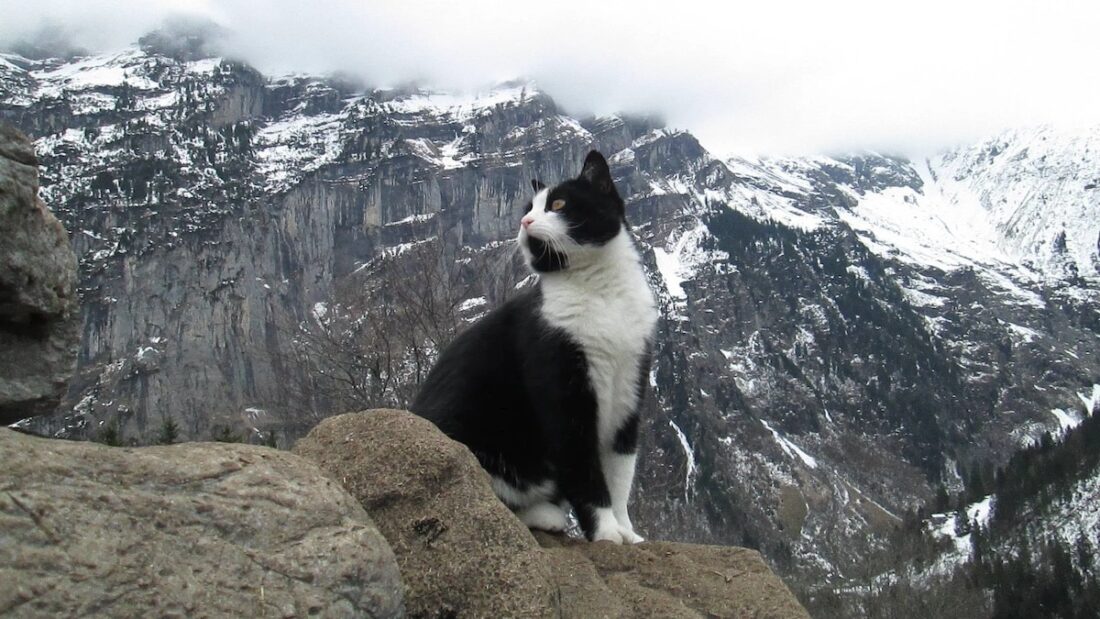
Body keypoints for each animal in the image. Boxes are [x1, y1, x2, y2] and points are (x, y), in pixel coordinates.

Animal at [411, 148, 651, 543]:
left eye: (557, 203)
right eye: (528, 206)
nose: (524, 220)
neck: (600, 293)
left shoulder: (629, 389)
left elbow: (620, 473)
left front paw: (626, 532)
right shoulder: (561, 389)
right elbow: (584, 470)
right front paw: (605, 532)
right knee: (479, 497)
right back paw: (545, 515)